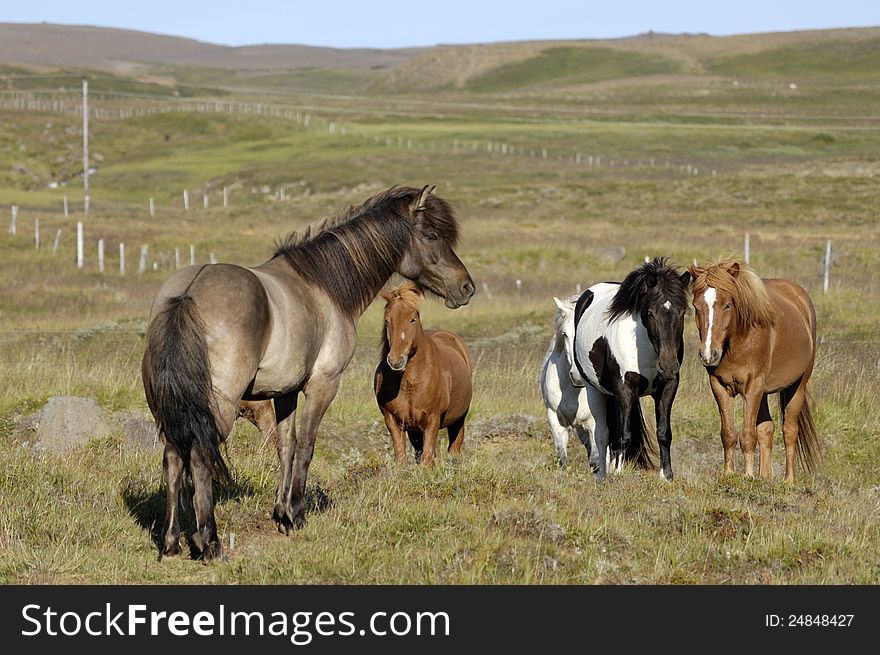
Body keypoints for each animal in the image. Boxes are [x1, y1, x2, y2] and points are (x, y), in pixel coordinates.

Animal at [372, 284, 470, 464]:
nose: (396, 361)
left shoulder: (432, 420)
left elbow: (427, 459)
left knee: (454, 449)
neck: (409, 384)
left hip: (458, 420)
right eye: (387, 320)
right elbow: (402, 458)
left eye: (413, 319)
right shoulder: (393, 421)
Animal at [540, 294, 600, 468]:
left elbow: (596, 460)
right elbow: (562, 459)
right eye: (565, 334)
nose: (578, 375)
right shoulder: (555, 419)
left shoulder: (594, 422)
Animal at [568, 258, 692, 482]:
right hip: (595, 391)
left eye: (682, 312)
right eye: (650, 313)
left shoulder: (668, 387)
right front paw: (618, 473)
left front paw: (666, 476)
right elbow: (623, 434)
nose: (668, 366)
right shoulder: (624, 389)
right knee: (602, 434)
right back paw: (603, 475)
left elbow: (664, 432)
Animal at [688, 260, 820, 482]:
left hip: (797, 385)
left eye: (727, 305)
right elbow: (729, 434)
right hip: (764, 392)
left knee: (789, 430)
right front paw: (729, 474)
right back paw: (765, 477)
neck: (739, 339)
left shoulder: (753, 387)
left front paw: (748, 476)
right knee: (766, 429)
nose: (708, 354)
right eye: (696, 306)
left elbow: (748, 435)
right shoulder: (720, 386)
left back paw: (789, 481)